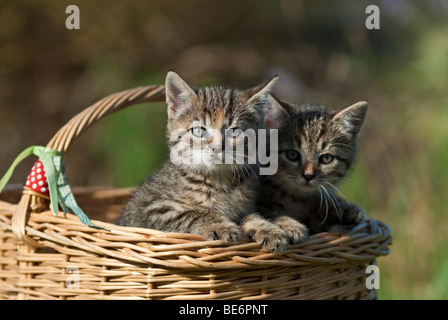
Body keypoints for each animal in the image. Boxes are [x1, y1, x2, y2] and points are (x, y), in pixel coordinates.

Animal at [119, 72, 286, 252]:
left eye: (234, 131)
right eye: (199, 131)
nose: (217, 147)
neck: (218, 181)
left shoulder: (246, 208)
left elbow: (252, 216)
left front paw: (269, 230)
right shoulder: (150, 210)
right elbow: (193, 213)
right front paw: (220, 226)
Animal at [258, 99, 370, 244]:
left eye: (326, 158)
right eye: (292, 154)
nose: (308, 175)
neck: (299, 199)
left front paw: (342, 208)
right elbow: (269, 212)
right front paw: (290, 225)